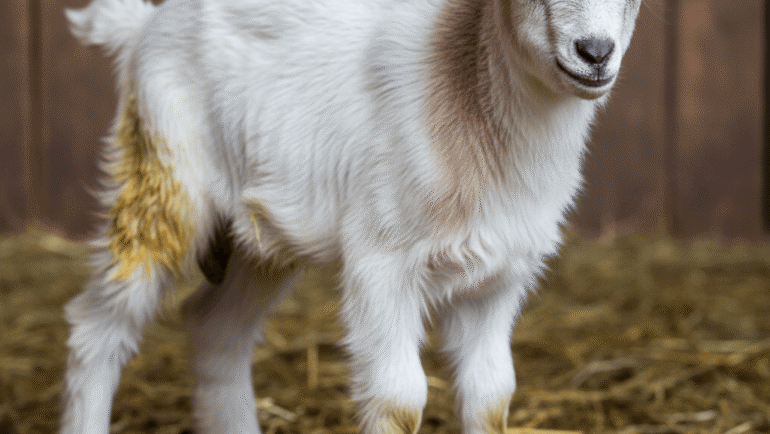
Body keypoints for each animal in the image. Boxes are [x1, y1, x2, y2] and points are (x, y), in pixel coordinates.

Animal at [61, 0, 641, 432]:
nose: (595, 52)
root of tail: (140, 29)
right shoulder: (382, 263)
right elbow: (399, 398)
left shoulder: (497, 279)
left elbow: (491, 396)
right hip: (164, 179)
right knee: (98, 327)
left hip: (263, 232)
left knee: (215, 327)